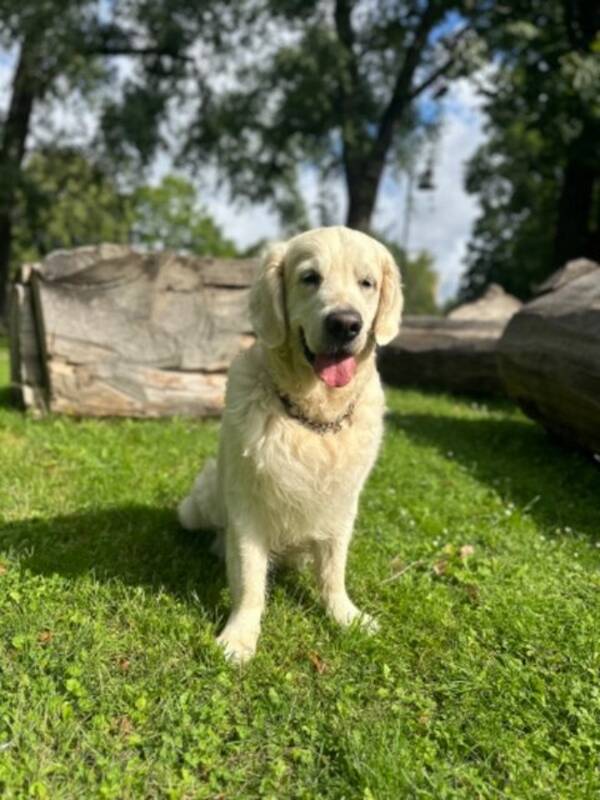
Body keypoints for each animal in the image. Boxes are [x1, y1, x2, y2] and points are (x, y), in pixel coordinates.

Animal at [178, 227, 404, 664]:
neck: (313, 419)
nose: (345, 324)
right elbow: (250, 581)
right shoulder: (248, 506)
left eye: (366, 283)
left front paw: (345, 615)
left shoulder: (341, 505)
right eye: (309, 278)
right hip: (198, 504)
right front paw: (240, 637)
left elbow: (333, 570)